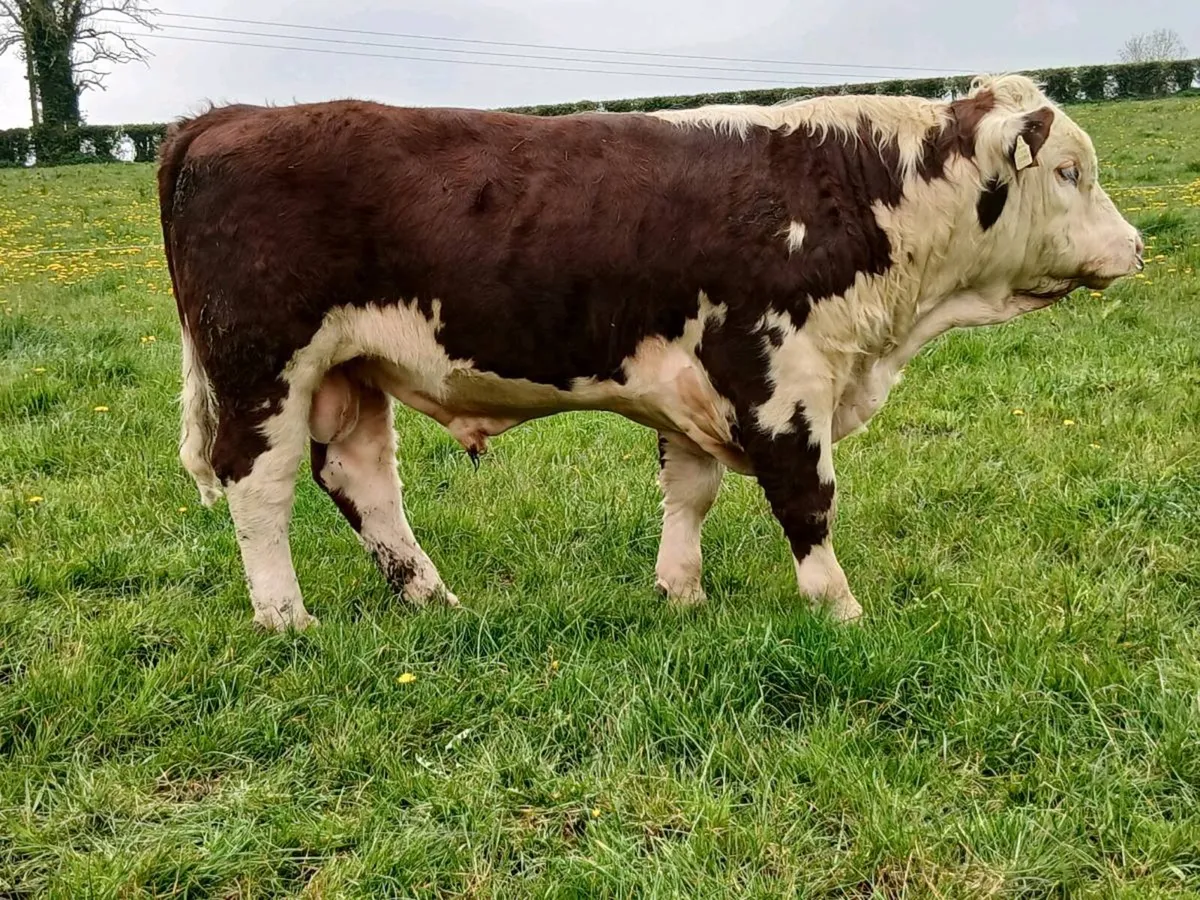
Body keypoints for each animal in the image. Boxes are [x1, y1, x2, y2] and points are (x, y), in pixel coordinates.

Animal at [157, 73, 1143, 631]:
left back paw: (434, 601)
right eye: (1069, 172)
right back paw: (287, 620)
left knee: (363, 482)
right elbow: (806, 498)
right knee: (260, 488)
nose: (1136, 246)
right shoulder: (775, 370)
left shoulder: (694, 382)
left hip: (347, 373)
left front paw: (681, 594)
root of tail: (225, 119)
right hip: (261, 368)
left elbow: (690, 491)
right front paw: (841, 610)